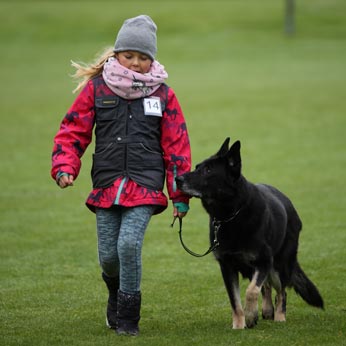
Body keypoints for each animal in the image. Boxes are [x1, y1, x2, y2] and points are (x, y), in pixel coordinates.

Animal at [176, 139, 324, 330]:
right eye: (197, 167)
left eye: (208, 170)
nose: (177, 179)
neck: (231, 215)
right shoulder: (227, 267)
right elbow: (235, 300)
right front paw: (239, 325)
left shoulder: (264, 261)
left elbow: (251, 290)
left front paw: (251, 315)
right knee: (267, 287)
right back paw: (268, 310)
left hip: (279, 265)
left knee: (281, 292)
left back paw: (279, 316)